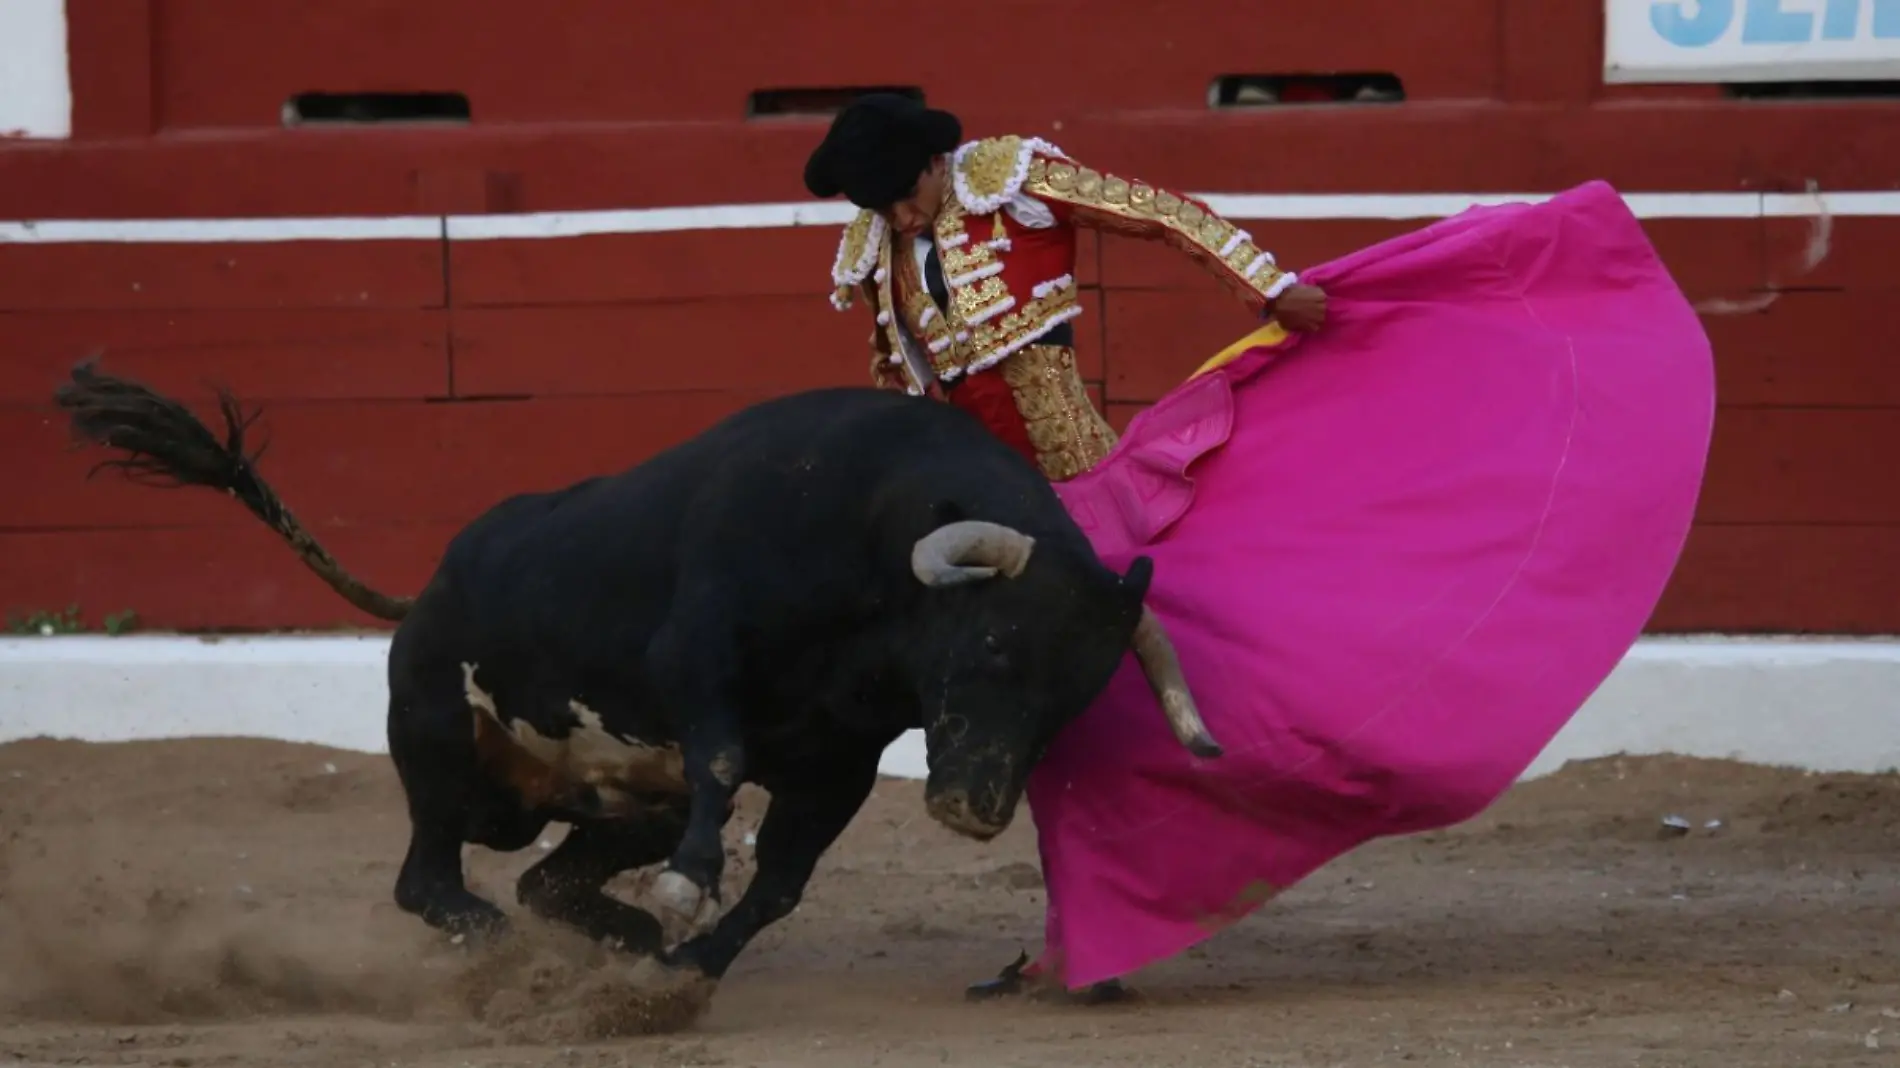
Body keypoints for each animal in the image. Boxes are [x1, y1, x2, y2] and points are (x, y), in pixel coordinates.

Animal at [55, 361, 1216, 988]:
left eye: (1070, 700)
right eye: (990, 647)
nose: (976, 810)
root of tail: (427, 587)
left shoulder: (837, 761)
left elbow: (782, 878)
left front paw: (683, 968)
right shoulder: (698, 660)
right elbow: (722, 761)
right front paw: (686, 892)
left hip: (605, 803)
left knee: (544, 876)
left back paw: (609, 939)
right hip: (436, 740)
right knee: (430, 876)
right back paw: (501, 941)